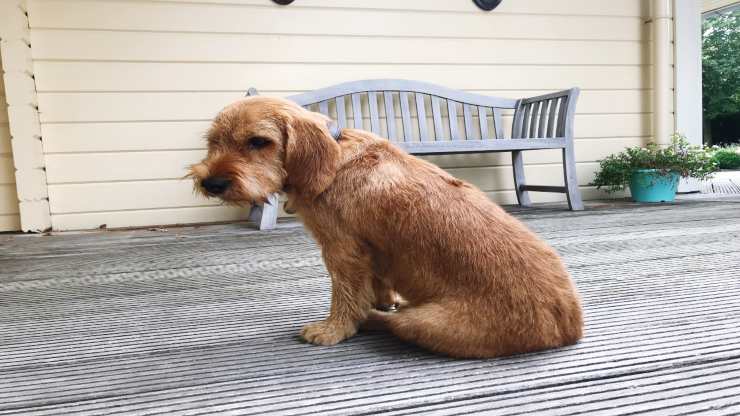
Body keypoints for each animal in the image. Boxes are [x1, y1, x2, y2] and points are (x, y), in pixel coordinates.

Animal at [191, 96, 584, 358]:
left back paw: (371, 318)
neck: (334, 157)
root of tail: (568, 328)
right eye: (213, 142)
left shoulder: (342, 251)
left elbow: (346, 297)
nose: (211, 183)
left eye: (259, 141)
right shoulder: (371, 252)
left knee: (393, 322)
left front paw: (333, 329)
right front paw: (380, 300)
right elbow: (378, 282)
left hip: (426, 322)